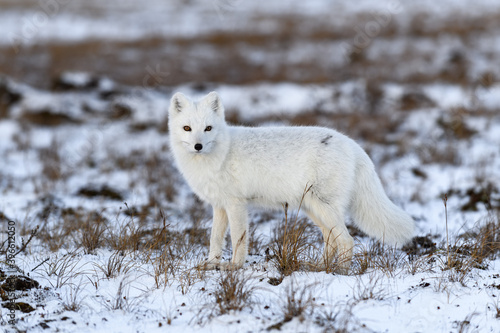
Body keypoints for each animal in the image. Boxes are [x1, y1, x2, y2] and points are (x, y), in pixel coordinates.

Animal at [168, 90, 414, 270]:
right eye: (187, 128)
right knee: (331, 240)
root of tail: (353, 145)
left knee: (346, 240)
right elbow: (215, 239)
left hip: (323, 207)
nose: (198, 146)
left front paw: (234, 267)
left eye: (208, 128)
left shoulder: (236, 204)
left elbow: (238, 239)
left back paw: (340, 272)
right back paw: (319, 267)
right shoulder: (219, 206)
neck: (220, 153)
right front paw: (211, 264)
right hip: (313, 209)